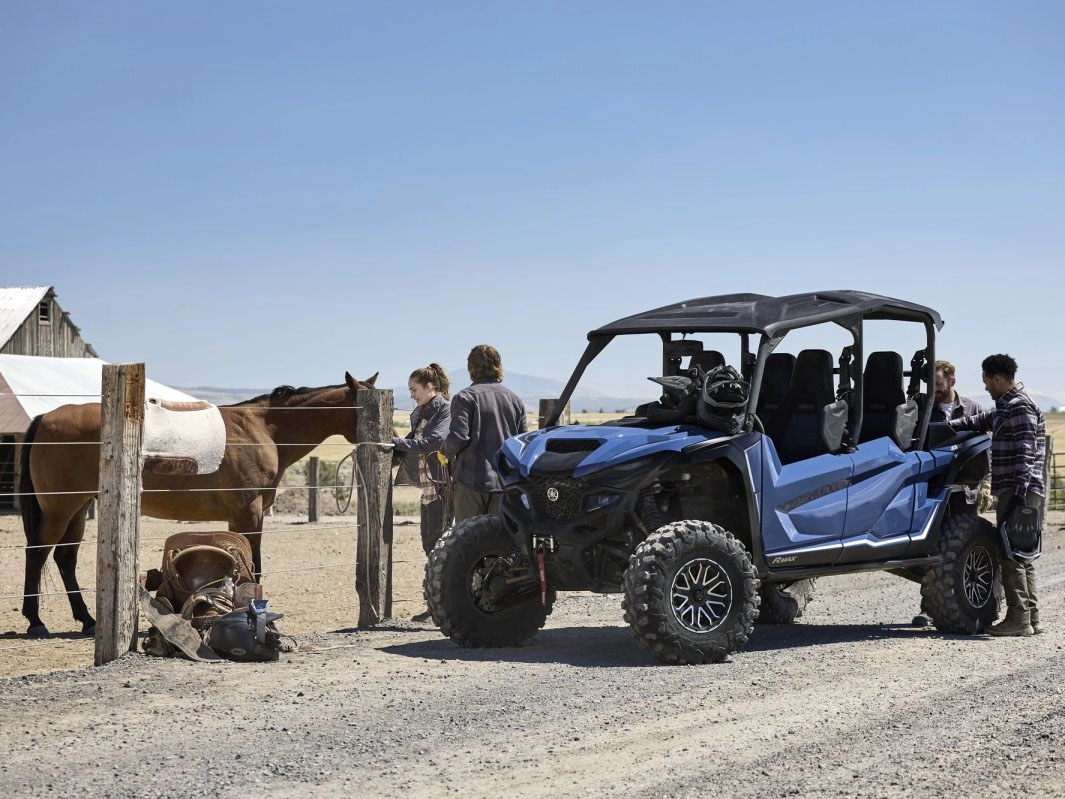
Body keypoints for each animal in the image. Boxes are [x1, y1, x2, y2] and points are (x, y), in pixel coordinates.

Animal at [19, 370, 379, 639]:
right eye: (367, 409)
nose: (388, 440)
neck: (265, 430)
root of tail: (45, 417)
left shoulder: (240, 518)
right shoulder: (249, 513)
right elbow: (255, 565)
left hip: (78, 509)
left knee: (64, 559)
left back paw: (87, 620)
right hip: (59, 509)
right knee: (37, 555)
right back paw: (36, 622)